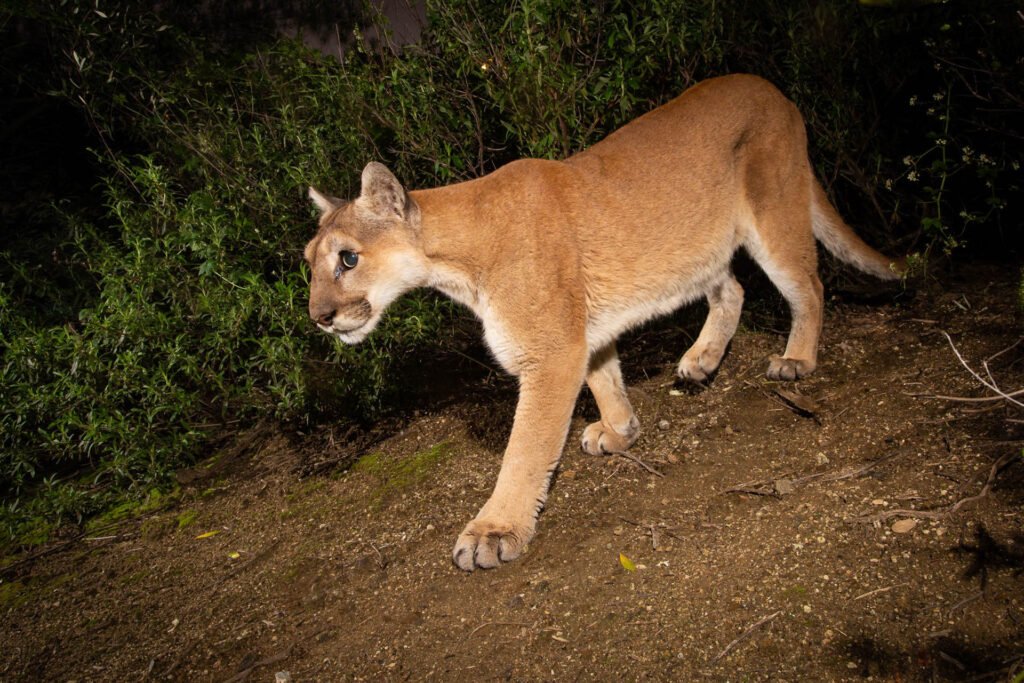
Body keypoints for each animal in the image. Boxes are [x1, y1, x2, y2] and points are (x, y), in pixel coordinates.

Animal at [303, 74, 903, 571]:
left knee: (810, 285)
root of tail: (775, 91)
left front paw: (494, 531)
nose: (320, 318)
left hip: (773, 211)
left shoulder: (549, 354)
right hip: (697, 243)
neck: (455, 257)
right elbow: (604, 377)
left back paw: (796, 358)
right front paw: (621, 431)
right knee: (731, 288)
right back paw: (701, 360)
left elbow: (525, 449)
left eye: (348, 259)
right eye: (310, 261)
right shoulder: (578, 336)